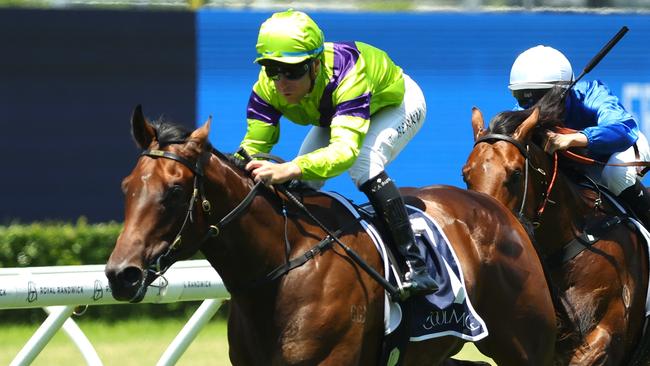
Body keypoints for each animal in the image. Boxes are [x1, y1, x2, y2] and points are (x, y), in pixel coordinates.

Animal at [104, 106, 556, 366]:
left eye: (174, 191)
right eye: (126, 187)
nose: (120, 275)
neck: (282, 265)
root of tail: (498, 208)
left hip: (527, 344)